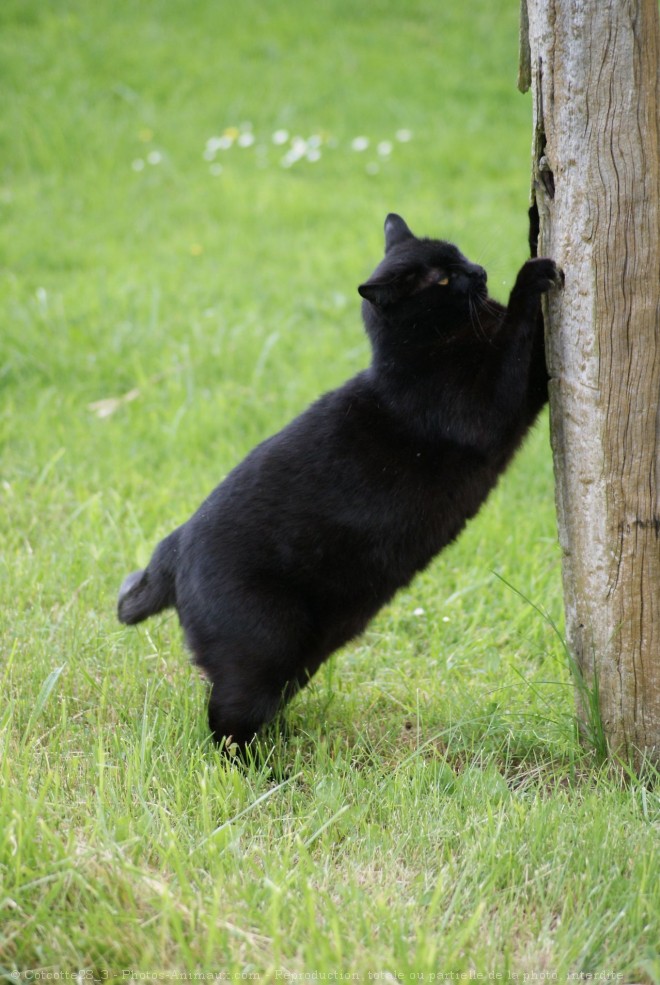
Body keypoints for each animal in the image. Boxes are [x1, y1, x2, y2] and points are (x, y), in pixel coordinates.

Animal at [120, 213, 564, 744]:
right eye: (441, 279)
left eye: (457, 255)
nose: (477, 271)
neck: (418, 354)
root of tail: (172, 549)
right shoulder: (488, 407)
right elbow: (518, 334)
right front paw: (531, 275)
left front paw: (536, 219)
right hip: (263, 646)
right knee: (224, 722)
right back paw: (264, 764)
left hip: (299, 658)